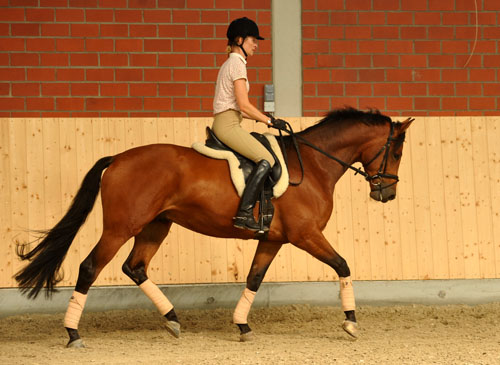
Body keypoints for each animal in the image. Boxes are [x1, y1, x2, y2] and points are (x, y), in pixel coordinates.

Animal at [15, 106, 414, 346]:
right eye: (396, 152)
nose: (388, 193)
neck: (313, 165)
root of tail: (118, 158)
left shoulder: (274, 239)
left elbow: (254, 278)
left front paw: (242, 326)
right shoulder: (306, 235)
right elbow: (343, 265)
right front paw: (351, 322)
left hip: (156, 225)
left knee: (135, 267)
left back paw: (172, 319)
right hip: (120, 227)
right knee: (90, 267)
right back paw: (73, 333)